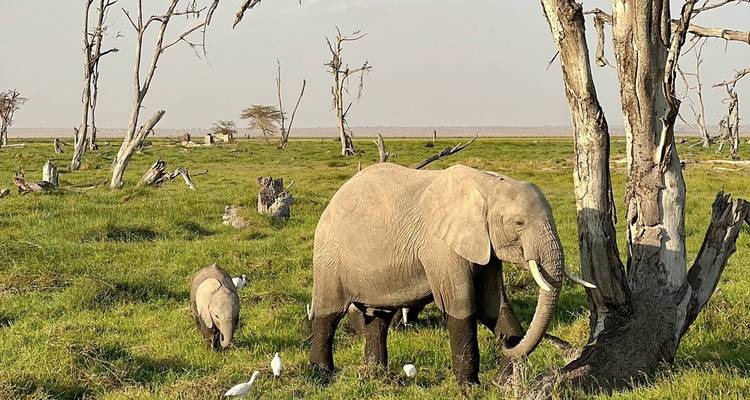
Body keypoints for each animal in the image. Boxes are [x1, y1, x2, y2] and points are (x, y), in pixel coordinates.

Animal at [309, 163, 593, 385]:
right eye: (519, 223)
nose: (505, 341)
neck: (489, 186)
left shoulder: (485, 248)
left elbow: (494, 304)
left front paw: (502, 380)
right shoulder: (441, 248)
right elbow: (461, 306)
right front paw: (469, 387)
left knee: (379, 318)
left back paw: (376, 373)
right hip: (330, 256)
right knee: (329, 314)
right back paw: (321, 373)